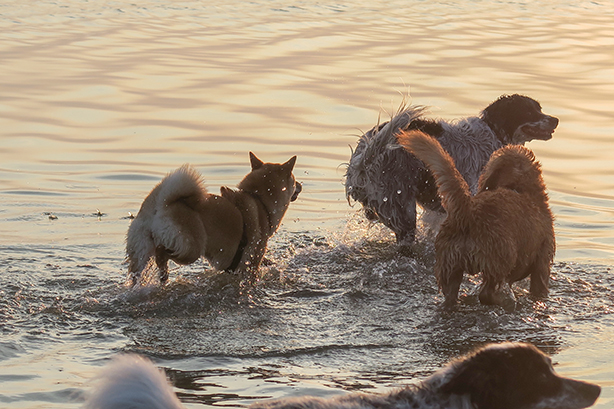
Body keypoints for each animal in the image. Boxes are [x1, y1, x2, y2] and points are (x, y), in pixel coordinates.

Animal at [125, 151, 304, 286]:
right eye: (295, 180)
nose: (301, 185)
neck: (259, 200)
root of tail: (162, 203)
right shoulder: (250, 264)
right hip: (191, 249)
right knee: (162, 252)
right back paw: (163, 273)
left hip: (140, 252)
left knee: (137, 274)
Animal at [344, 94, 560, 244]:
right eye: (530, 111)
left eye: (539, 108)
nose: (555, 119)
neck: (493, 132)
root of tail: (365, 159)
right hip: (401, 208)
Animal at [400, 129, 560, 308]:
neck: (517, 187)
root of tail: (468, 211)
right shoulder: (542, 264)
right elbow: (540, 287)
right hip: (499, 261)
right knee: (486, 293)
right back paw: (505, 301)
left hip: (449, 266)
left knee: (451, 295)